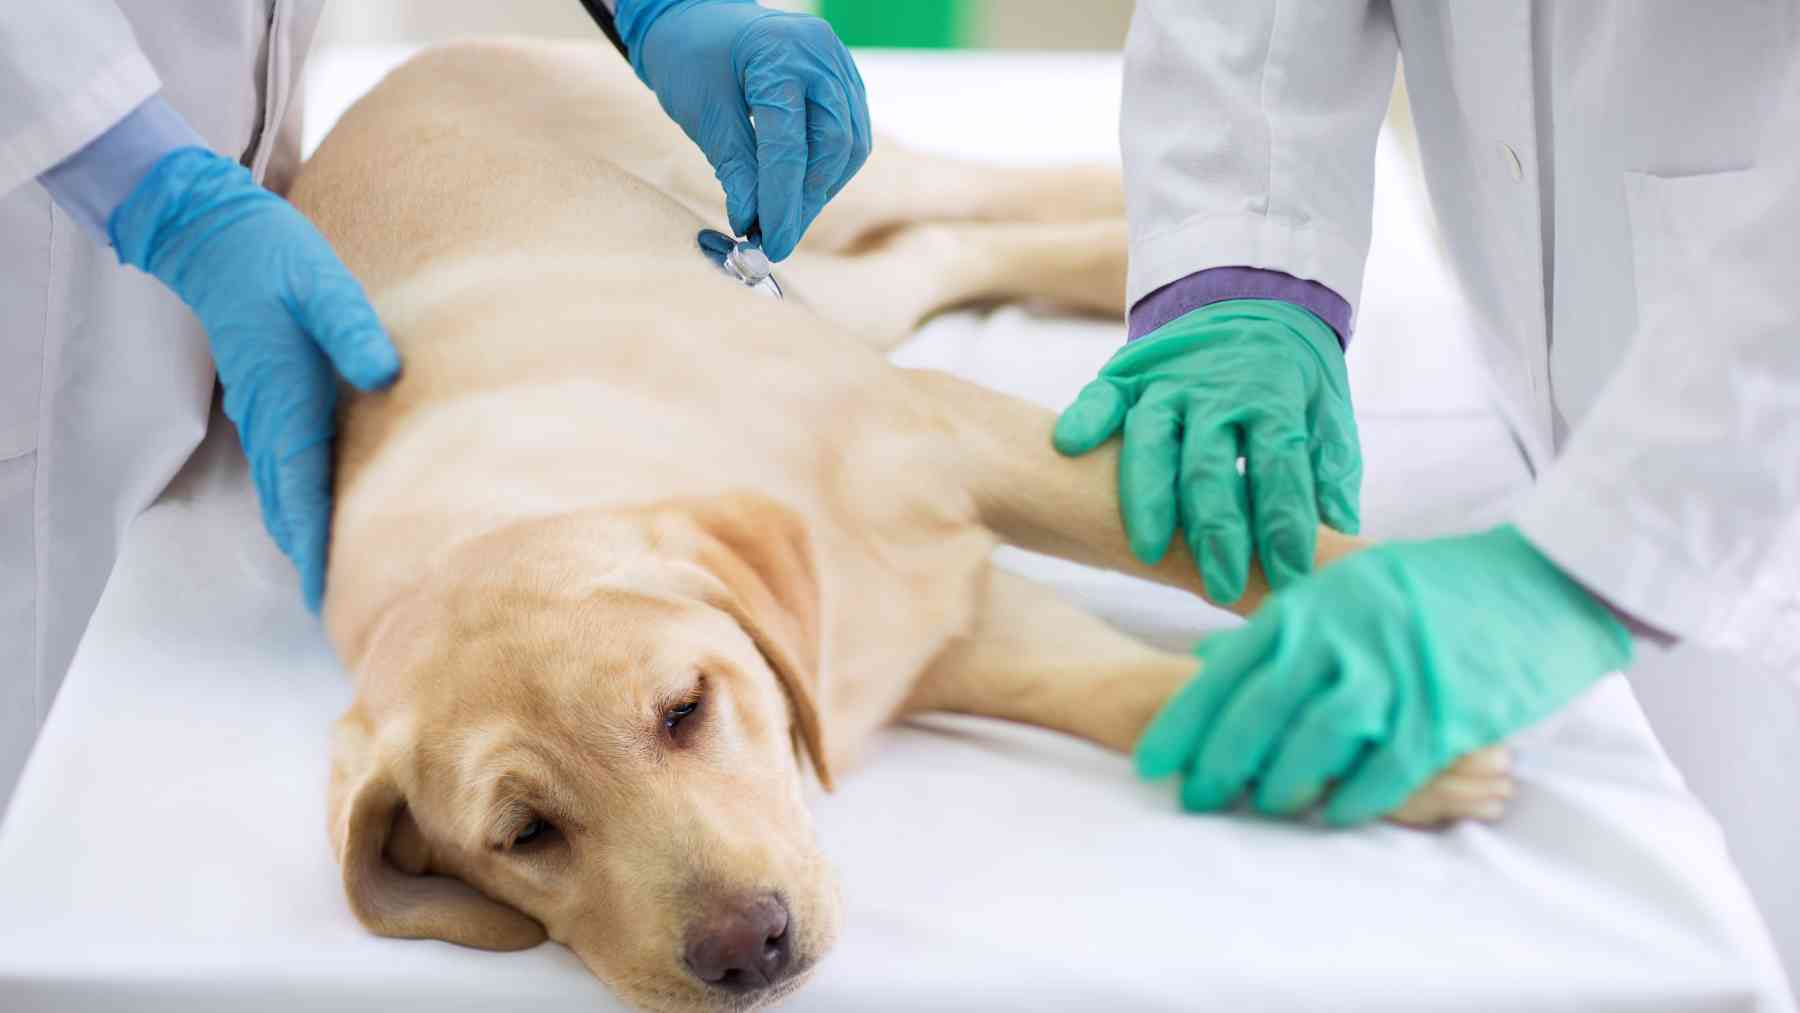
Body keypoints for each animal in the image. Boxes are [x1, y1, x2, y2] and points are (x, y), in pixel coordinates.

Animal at [302, 39, 1512, 1013]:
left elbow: (1221, 546)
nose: (747, 949)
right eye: (524, 837)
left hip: (793, 188)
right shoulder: (951, 643)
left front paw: (1431, 640)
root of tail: (379, 90)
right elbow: (1123, 690)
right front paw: (1344, 730)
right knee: (931, 252)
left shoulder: (969, 440)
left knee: (950, 200)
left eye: (684, 710)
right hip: (830, 287)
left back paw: (1134, 223)